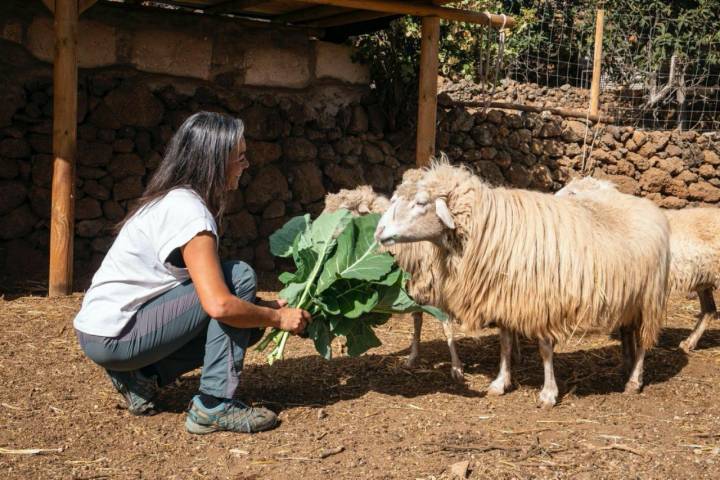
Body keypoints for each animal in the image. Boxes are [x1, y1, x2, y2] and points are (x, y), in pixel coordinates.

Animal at [322, 181, 466, 382]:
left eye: (344, 212)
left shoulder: (440, 288)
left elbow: (446, 327)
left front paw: (456, 366)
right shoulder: (415, 287)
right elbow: (417, 321)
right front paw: (413, 357)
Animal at [374, 163, 672, 406]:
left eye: (421, 202)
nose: (378, 232)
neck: (489, 227)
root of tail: (645, 204)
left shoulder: (540, 301)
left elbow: (545, 349)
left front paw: (548, 394)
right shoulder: (505, 297)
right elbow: (505, 344)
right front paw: (500, 383)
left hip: (651, 298)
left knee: (644, 341)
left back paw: (634, 380)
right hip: (630, 298)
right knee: (628, 332)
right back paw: (625, 365)